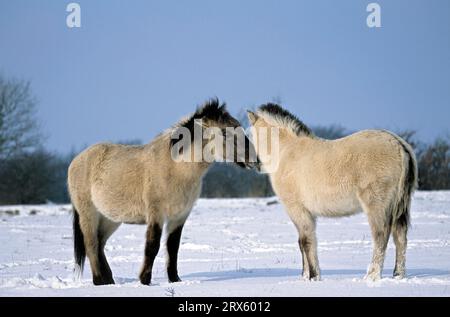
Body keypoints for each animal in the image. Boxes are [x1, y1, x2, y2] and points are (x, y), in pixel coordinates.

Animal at [66, 98, 256, 284]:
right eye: (225, 132)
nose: (254, 158)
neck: (176, 168)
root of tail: (76, 160)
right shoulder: (156, 213)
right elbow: (152, 246)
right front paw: (145, 280)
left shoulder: (179, 216)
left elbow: (172, 247)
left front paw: (175, 279)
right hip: (88, 213)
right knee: (91, 244)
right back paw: (99, 280)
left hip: (109, 218)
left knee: (100, 243)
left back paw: (109, 281)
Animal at [248, 103, 416, 278]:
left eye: (251, 136)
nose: (255, 163)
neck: (286, 153)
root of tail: (399, 145)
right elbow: (304, 242)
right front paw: (306, 276)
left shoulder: (297, 209)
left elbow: (306, 241)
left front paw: (313, 276)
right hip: (399, 207)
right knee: (400, 238)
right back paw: (398, 274)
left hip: (377, 205)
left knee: (381, 237)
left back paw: (372, 275)